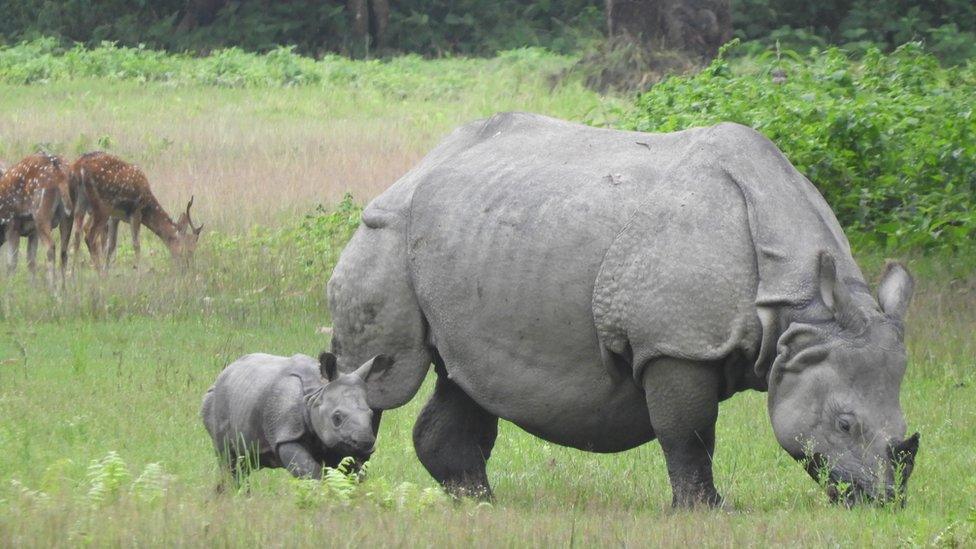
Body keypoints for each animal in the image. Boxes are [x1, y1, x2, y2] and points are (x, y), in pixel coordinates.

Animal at [0, 152, 74, 282]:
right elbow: (31, 261)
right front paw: (32, 285)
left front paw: (11, 283)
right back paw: (63, 286)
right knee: (64, 252)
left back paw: (52, 286)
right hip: (68, 216)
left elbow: (11, 263)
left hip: (41, 215)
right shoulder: (32, 232)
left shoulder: (12, 226)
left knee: (51, 247)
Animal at [69, 151, 203, 270]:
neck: (148, 206)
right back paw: (97, 272)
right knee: (89, 235)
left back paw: (74, 273)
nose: (188, 267)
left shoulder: (115, 216)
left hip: (81, 205)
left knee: (77, 234)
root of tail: (78, 166)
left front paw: (107, 271)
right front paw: (138, 271)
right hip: (102, 207)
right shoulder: (136, 211)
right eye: (189, 249)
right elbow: (136, 244)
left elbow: (111, 246)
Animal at [200, 352, 390, 480]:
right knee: (229, 461)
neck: (316, 394)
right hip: (215, 401)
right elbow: (311, 472)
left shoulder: (337, 443)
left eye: (372, 415)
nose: (365, 442)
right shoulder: (287, 434)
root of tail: (222, 374)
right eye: (337, 418)